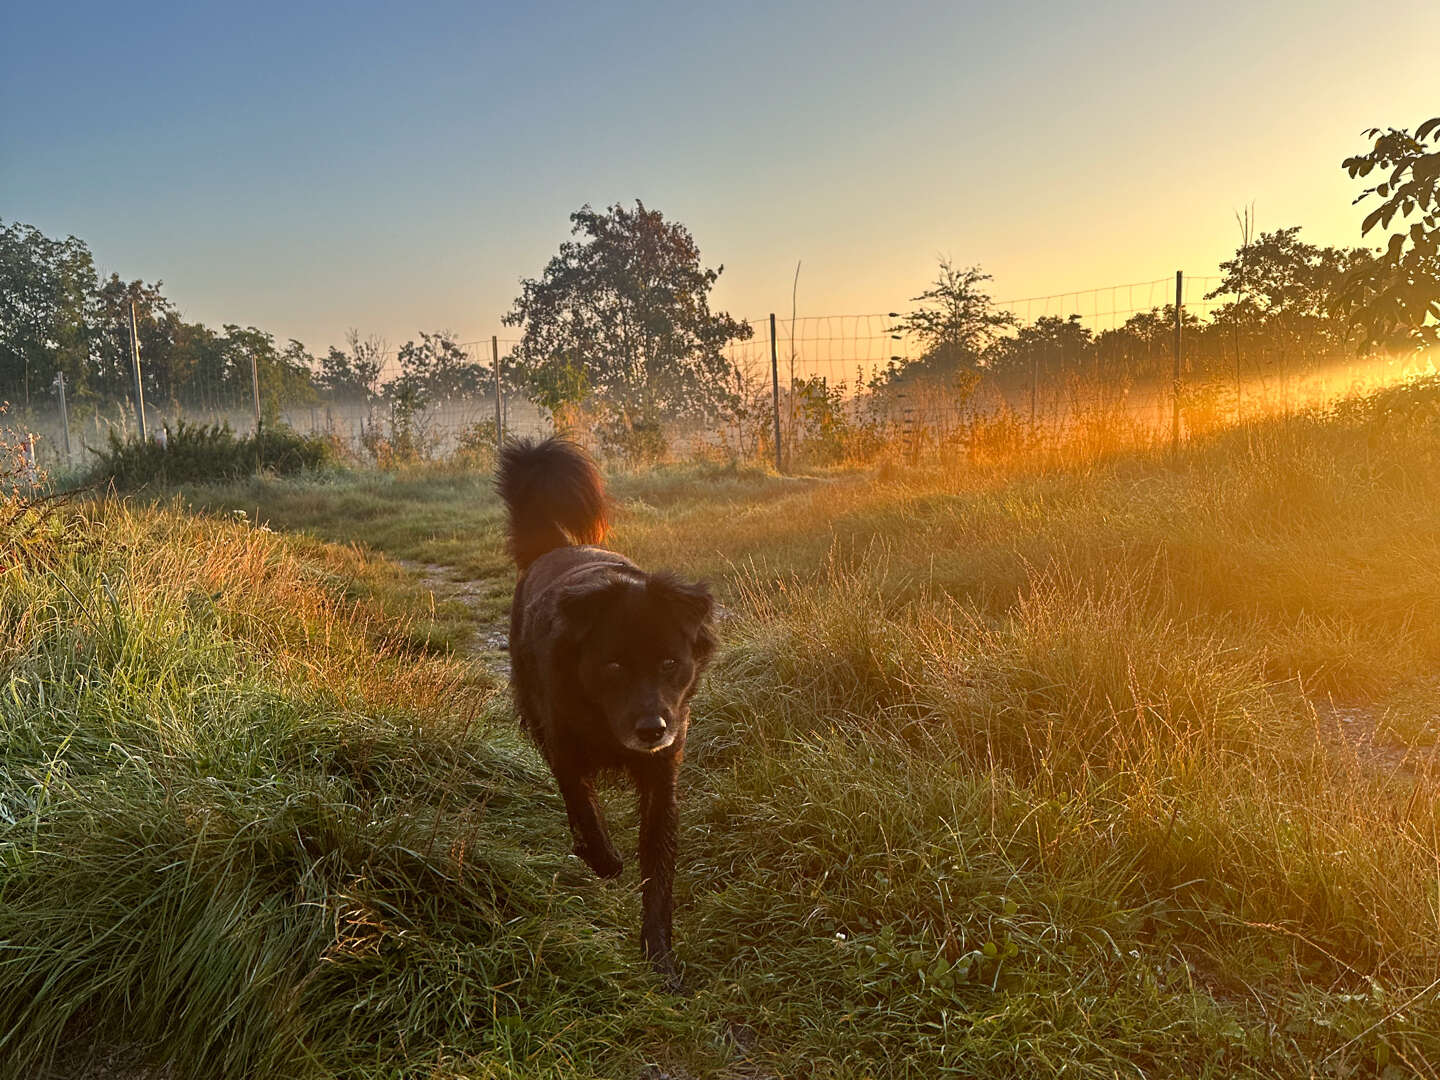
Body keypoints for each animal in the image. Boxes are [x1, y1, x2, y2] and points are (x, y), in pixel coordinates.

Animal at [498, 434, 717, 984]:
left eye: (670, 663)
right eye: (613, 665)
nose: (651, 729)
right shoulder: (565, 747)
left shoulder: (662, 776)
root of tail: (555, 545)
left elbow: (658, 870)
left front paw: (659, 955)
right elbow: (583, 805)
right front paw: (603, 859)